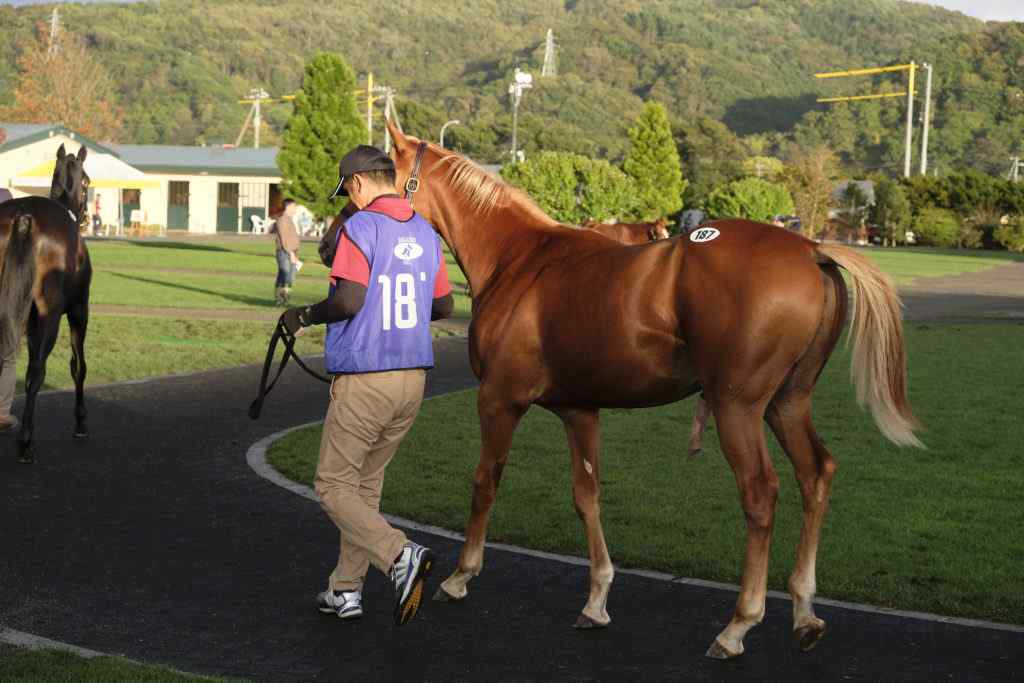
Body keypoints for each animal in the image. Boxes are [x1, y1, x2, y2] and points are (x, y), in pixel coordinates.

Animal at [0, 144, 93, 464]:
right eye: (87, 182)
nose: (87, 214)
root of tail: (24, 216)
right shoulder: (78, 312)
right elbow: (78, 366)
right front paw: (80, 422)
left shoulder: (29, 319)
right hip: (51, 314)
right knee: (36, 372)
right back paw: (25, 441)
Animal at [385, 120, 921, 659]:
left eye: (382, 168)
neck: (520, 260)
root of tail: (812, 249)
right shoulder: (579, 409)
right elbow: (587, 495)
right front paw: (596, 598)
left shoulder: (499, 400)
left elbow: (485, 482)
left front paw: (461, 575)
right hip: (787, 404)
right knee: (815, 475)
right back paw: (804, 610)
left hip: (736, 407)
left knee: (760, 493)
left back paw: (739, 623)